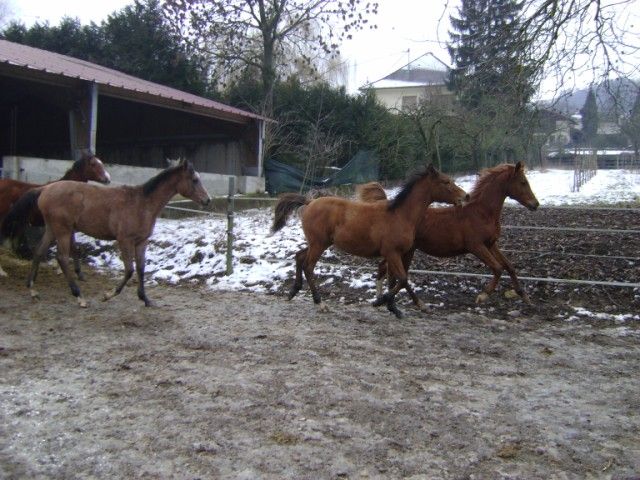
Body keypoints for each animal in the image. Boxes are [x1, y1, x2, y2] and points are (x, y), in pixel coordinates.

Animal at [3, 158, 210, 307]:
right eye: (194, 180)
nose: (207, 200)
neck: (142, 203)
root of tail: (45, 188)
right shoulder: (124, 240)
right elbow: (129, 270)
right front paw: (108, 295)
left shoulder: (141, 242)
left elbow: (141, 269)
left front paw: (145, 299)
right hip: (63, 230)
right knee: (61, 257)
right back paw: (79, 296)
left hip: (52, 229)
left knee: (39, 252)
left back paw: (33, 290)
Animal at [271, 164, 469, 318]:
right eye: (446, 182)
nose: (465, 196)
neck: (400, 215)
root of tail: (309, 202)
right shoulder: (392, 253)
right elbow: (402, 279)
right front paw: (382, 302)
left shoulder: (394, 254)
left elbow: (395, 279)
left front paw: (393, 307)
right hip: (319, 244)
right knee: (308, 266)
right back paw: (320, 303)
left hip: (317, 243)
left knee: (299, 257)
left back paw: (293, 292)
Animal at [358, 162, 540, 307]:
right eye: (523, 182)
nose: (535, 204)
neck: (481, 213)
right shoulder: (476, 246)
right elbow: (498, 268)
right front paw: (482, 296)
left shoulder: (491, 244)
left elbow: (509, 266)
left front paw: (525, 297)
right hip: (403, 251)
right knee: (391, 271)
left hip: (402, 251)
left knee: (388, 269)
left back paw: (385, 298)